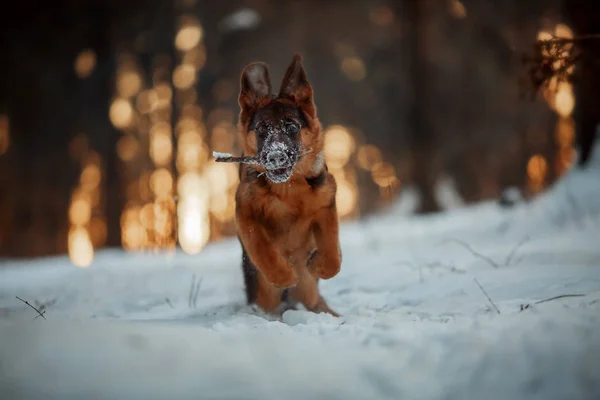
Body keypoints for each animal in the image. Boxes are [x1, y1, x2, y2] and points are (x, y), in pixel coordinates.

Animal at [234, 54, 340, 316]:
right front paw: (283, 275)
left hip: (309, 295)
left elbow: (332, 248)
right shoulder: (245, 213)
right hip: (264, 296)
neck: (288, 189)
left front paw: (320, 266)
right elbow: (261, 247)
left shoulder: (326, 205)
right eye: (262, 129)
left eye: (291, 126)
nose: (276, 157)